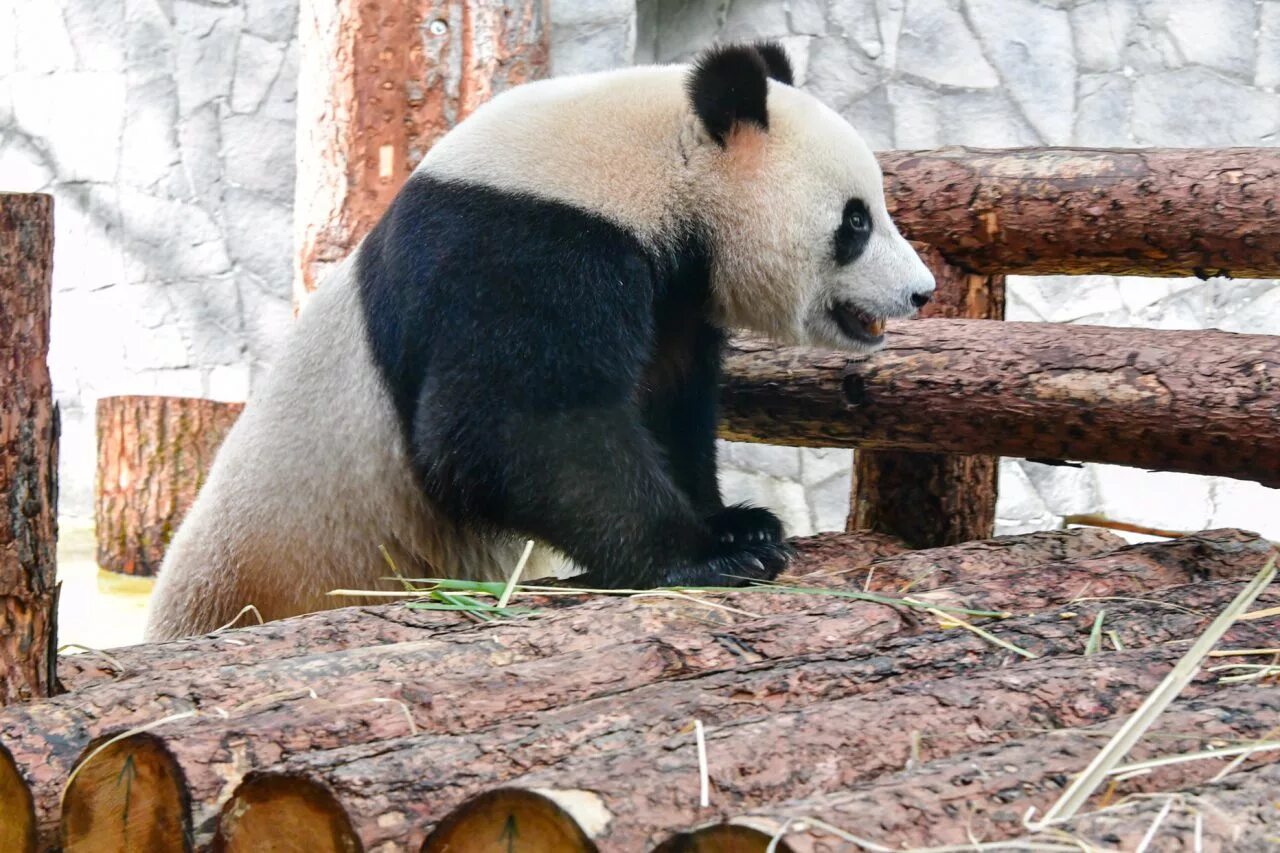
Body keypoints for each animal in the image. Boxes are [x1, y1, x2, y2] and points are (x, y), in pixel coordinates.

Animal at [145, 39, 936, 637]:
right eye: (856, 220)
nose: (920, 291)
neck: (658, 160)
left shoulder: (671, 293)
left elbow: (666, 405)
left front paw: (740, 525)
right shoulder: (526, 242)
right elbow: (513, 427)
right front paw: (703, 556)